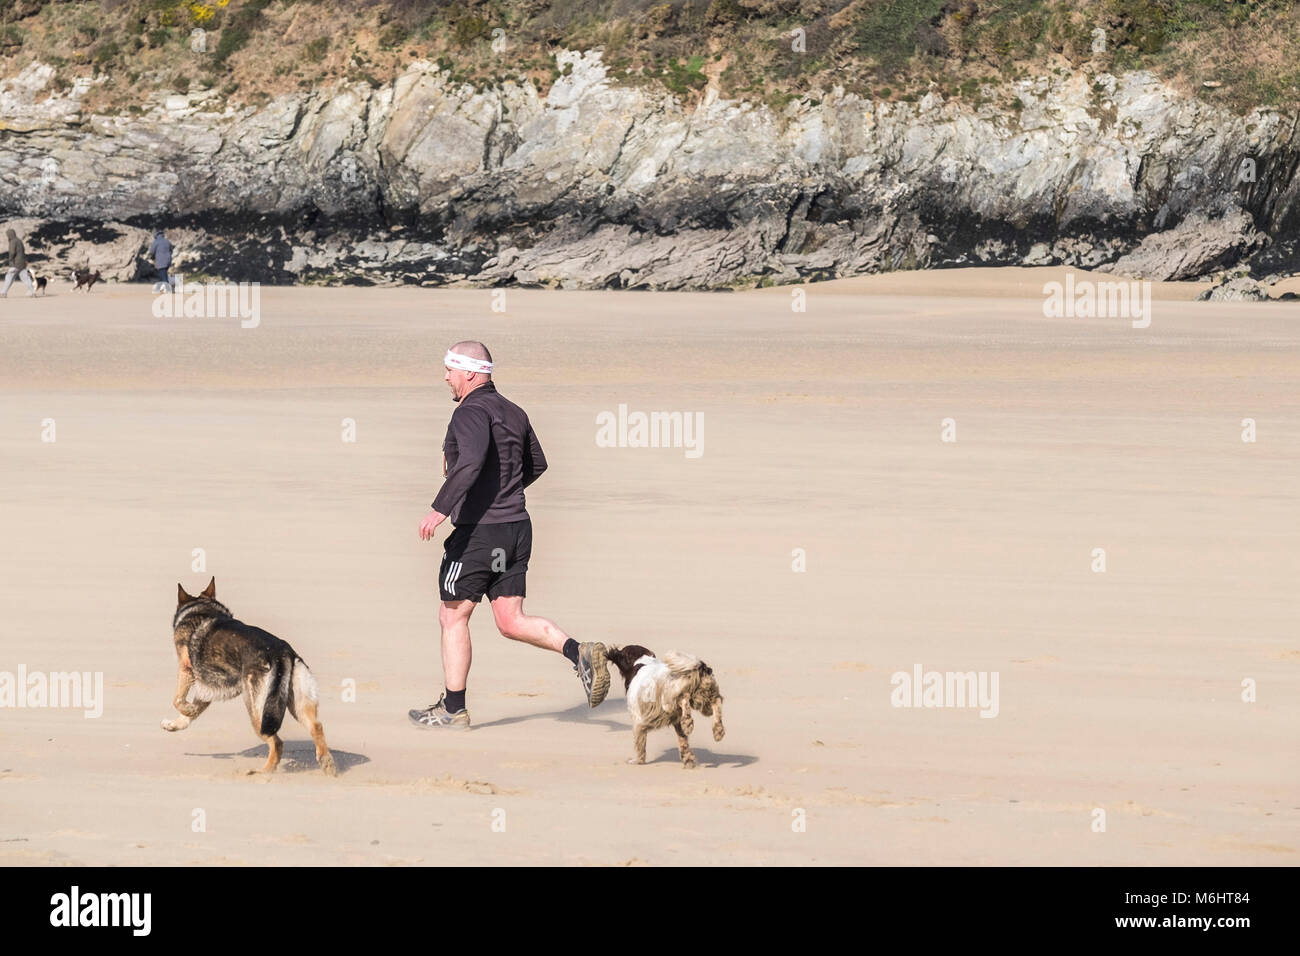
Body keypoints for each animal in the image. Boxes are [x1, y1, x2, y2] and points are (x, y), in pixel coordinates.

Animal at [162, 574, 338, 780]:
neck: (202, 609)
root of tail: (282, 651)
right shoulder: (207, 687)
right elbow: (190, 713)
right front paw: (175, 724)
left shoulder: (186, 670)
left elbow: (178, 701)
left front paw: (187, 709)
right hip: (297, 705)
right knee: (316, 727)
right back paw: (326, 763)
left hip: (258, 712)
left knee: (277, 742)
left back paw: (263, 772)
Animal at [605, 642, 728, 770]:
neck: (642, 662)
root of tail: (700, 667)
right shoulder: (676, 722)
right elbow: (683, 741)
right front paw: (688, 760)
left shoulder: (638, 721)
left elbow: (640, 746)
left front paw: (637, 761)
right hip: (704, 697)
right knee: (716, 702)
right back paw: (718, 731)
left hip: (669, 700)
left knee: (684, 699)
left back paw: (688, 722)